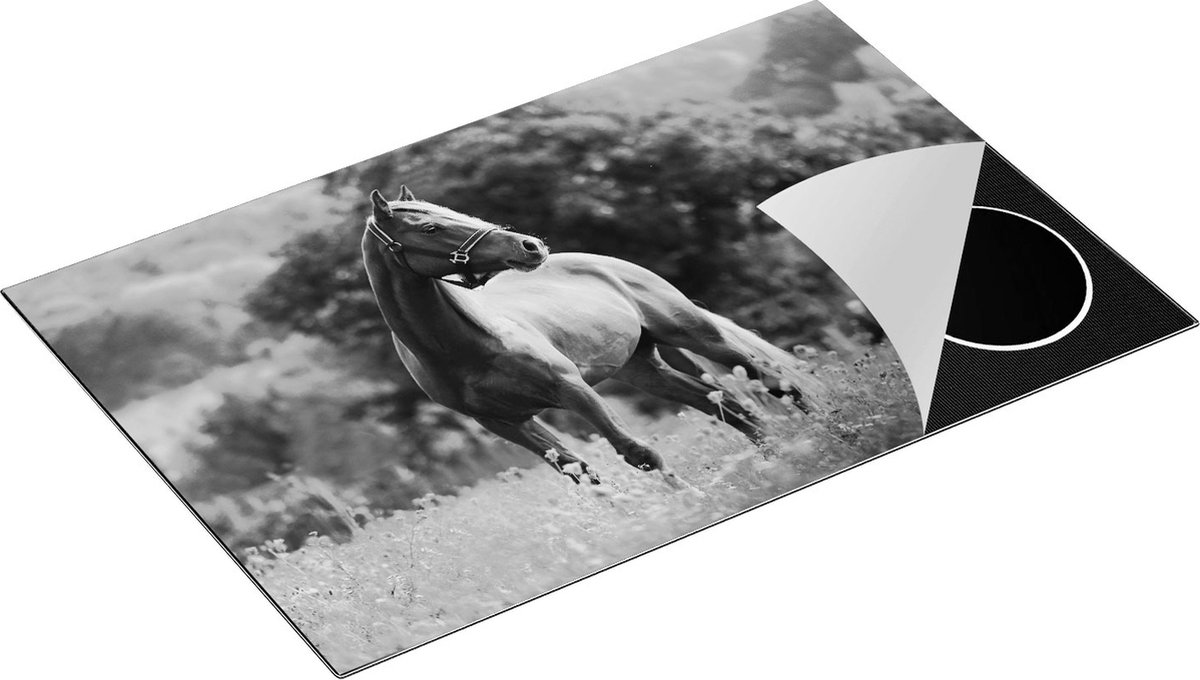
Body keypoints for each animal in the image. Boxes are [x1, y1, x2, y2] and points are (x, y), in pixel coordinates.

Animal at [362, 186, 813, 486]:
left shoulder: (573, 390)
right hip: (642, 367)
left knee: (771, 381)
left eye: (448, 212)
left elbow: (637, 451)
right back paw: (775, 458)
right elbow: (580, 473)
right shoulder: (507, 423)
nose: (529, 246)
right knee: (724, 404)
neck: (464, 348)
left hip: (696, 334)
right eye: (430, 228)